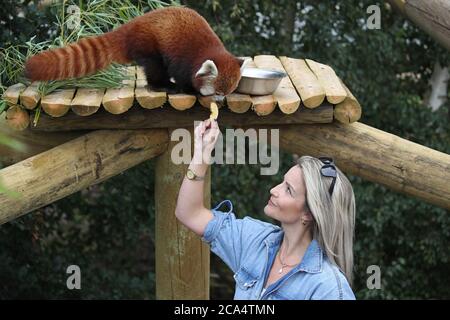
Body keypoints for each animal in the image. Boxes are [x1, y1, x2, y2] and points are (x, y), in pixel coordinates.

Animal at [23, 7, 250, 100]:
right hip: (148, 44)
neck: (209, 50)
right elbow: (182, 75)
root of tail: (132, 25)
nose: (220, 101)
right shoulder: (184, 58)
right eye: (217, 92)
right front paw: (190, 89)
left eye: (227, 93)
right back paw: (162, 85)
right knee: (155, 67)